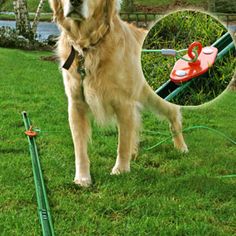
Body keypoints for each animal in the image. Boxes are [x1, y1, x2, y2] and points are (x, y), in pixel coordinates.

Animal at [48, 0, 189, 187]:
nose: (76, 2)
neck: (88, 47)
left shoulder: (124, 104)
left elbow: (122, 143)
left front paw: (120, 169)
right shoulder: (76, 105)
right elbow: (80, 148)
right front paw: (82, 177)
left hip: (157, 98)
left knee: (174, 119)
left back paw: (181, 147)